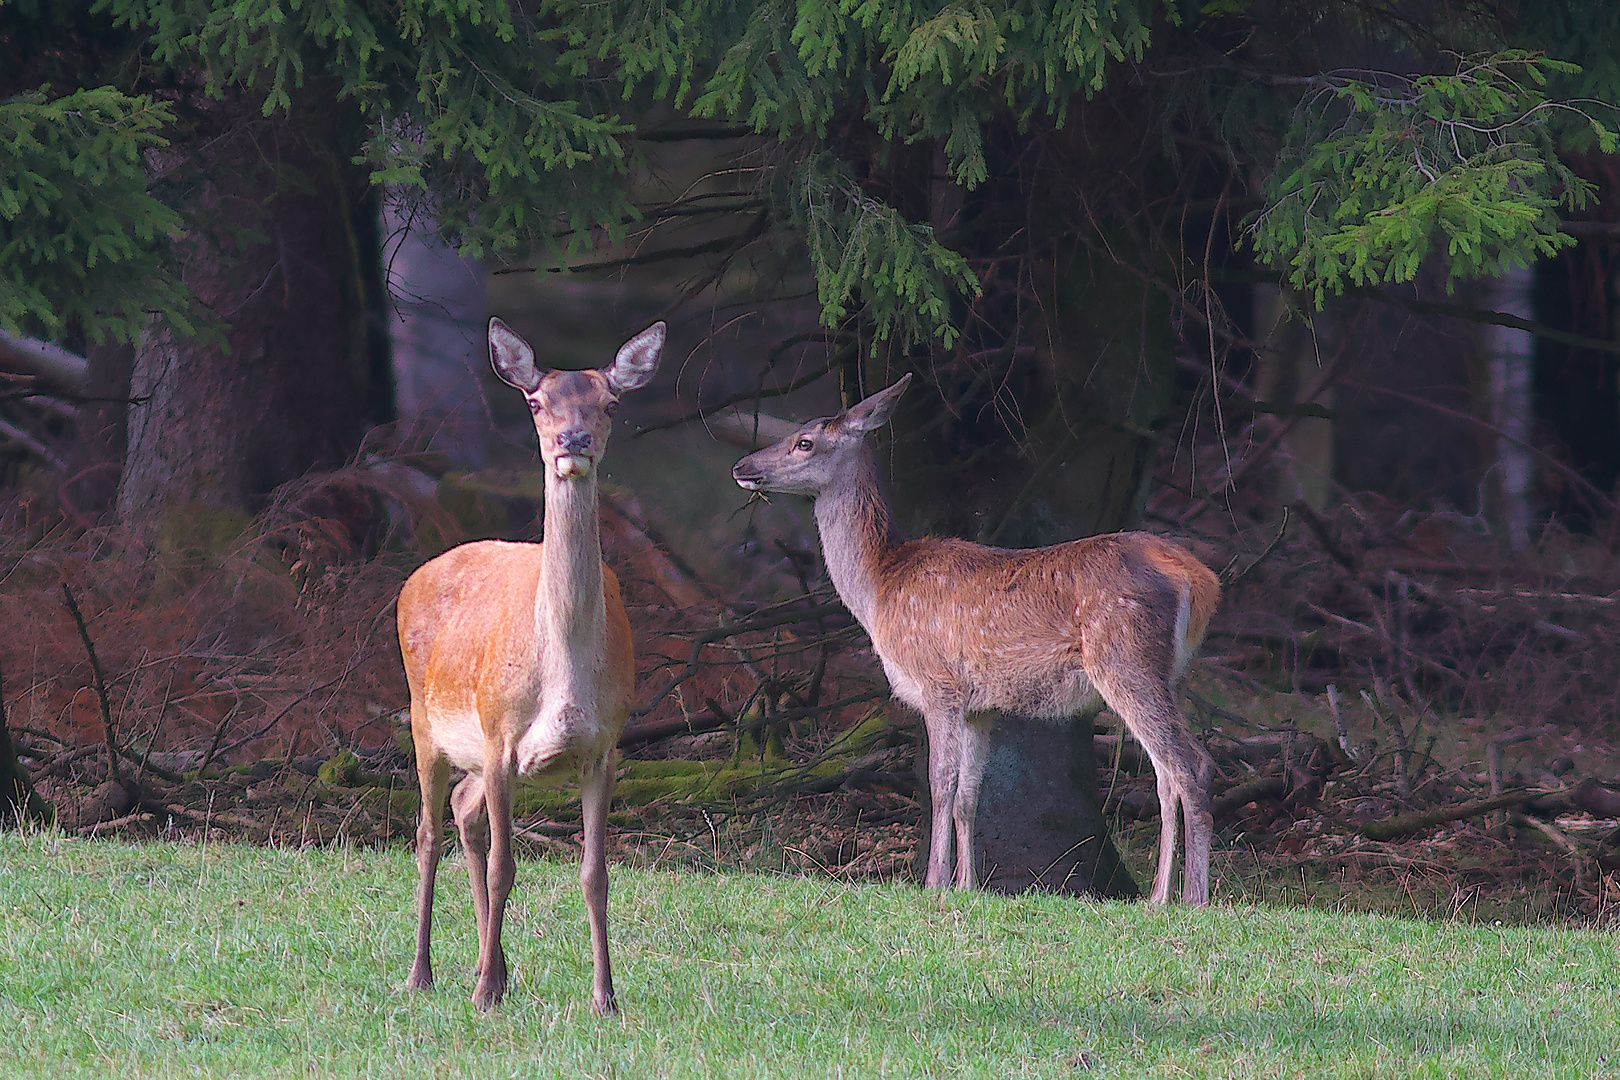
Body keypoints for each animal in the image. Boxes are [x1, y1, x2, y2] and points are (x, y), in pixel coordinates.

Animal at [401, 314, 660, 1016]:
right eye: (537, 402)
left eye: (611, 402)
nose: (573, 440)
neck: (563, 674)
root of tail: (411, 578)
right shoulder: (499, 736)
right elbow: (505, 865)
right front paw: (485, 993)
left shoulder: (606, 746)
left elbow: (595, 873)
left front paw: (606, 997)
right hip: (426, 723)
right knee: (427, 834)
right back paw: (425, 973)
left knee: (462, 809)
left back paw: (493, 964)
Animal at [732, 378, 1218, 906]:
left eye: (804, 442)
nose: (743, 466)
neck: (879, 589)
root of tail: (1200, 578)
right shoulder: (980, 706)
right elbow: (969, 796)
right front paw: (966, 885)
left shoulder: (938, 681)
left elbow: (939, 785)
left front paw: (934, 882)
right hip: (1167, 672)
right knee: (1166, 773)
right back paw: (1159, 896)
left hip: (1125, 658)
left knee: (1191, 765)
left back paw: (1193, 898)